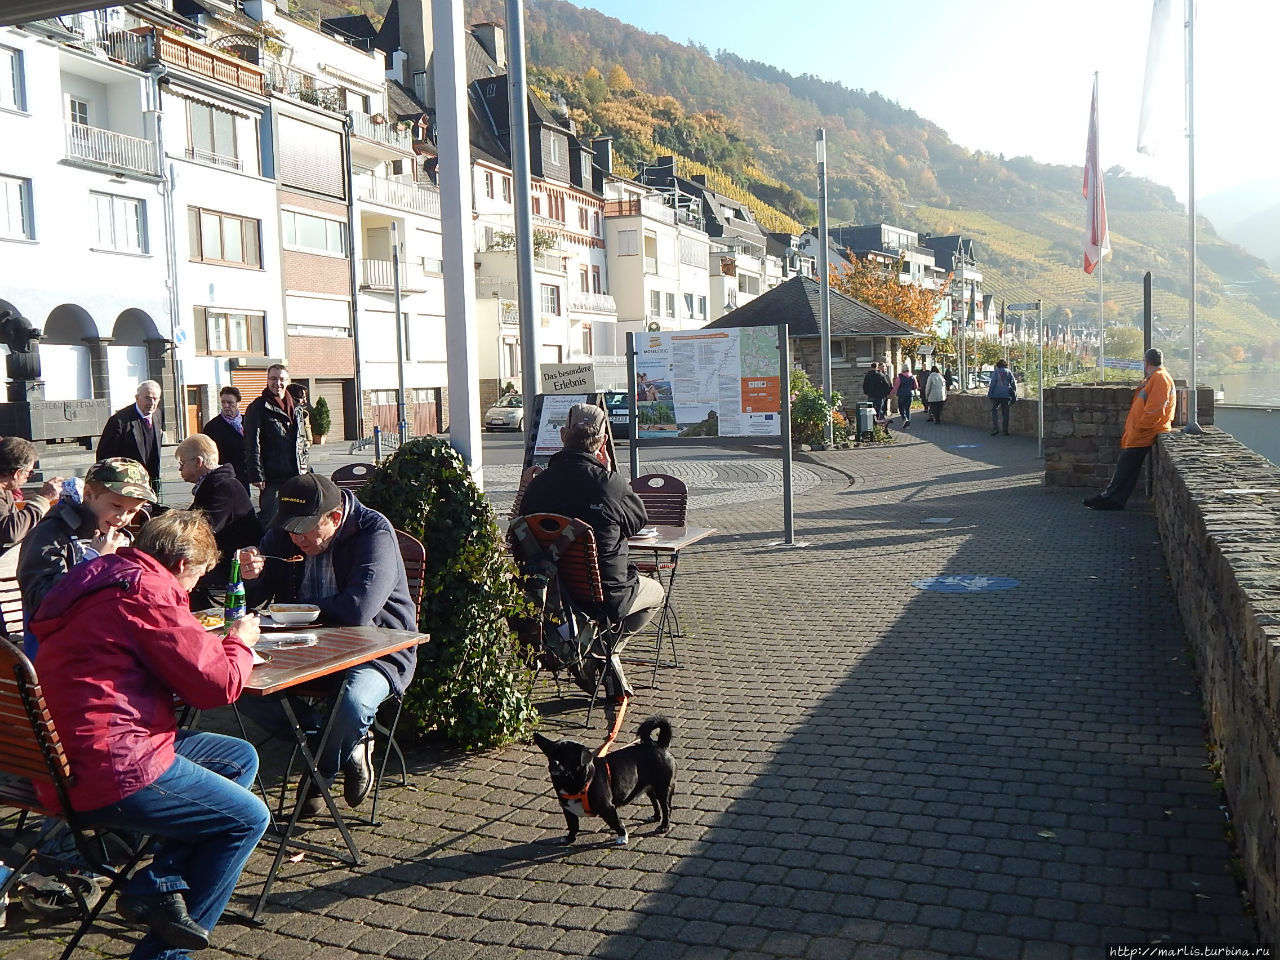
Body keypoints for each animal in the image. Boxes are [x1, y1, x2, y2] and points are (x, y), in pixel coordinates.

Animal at [532, 716, 675, 844]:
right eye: (550, 756)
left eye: (567, 758)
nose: (554, 762)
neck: (571, 783)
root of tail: (659, 745)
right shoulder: (568, 810)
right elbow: (573, 826)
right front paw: (570, 838)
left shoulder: (607, 808)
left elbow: (616, 823)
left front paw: (622, 836)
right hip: (649, 787)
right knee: (655, 801)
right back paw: (655, 817)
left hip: (663, 788)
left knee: (666, 807)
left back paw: (664, 826)